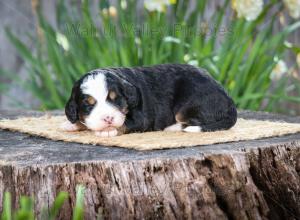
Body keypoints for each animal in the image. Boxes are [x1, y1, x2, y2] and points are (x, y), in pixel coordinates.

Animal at [62, 62, 237, 137]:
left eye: (116, 99)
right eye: (88, 105)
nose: (108, 118)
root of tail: (229, 100)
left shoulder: (142, 119)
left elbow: (124, 124)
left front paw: (108, 130)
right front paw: (71, 124)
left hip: (189, 104)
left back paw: (171, 128)